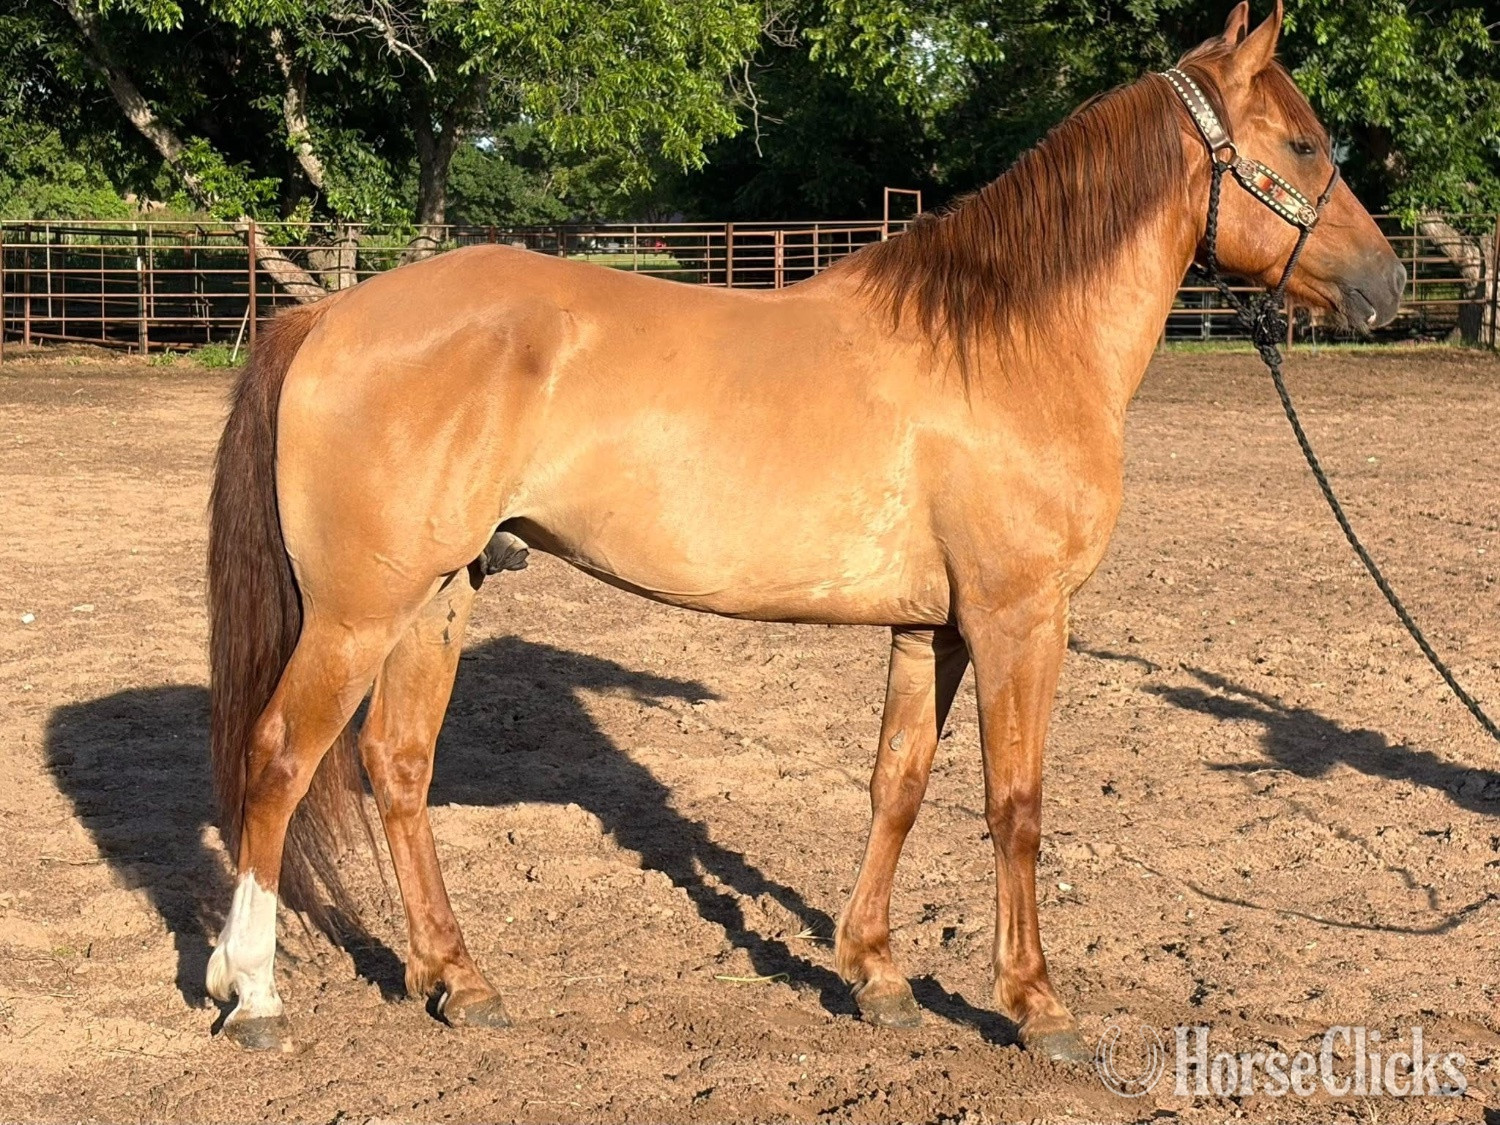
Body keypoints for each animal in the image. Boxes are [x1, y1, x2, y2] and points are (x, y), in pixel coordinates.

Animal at [204, 0, 1405, 1058]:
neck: (1006, 344)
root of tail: (328, 314)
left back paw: (459, 981)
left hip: (438, 596)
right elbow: (1015, 803)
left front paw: (876, 976)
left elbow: (898, 785)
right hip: (359, 611)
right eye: (1304, 144)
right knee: (279, 758)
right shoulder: (1020, 619)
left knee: (396, 766)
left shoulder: (936, 629)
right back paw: (255, 994)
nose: (1389, 283)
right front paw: (1036, 1006)